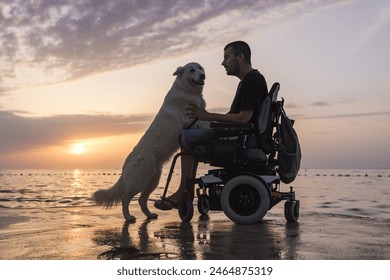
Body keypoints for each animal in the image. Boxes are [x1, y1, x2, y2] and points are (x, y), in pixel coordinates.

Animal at [92, 63, 206, 223]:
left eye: (200, 68)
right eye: (191, 70)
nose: (203, 75)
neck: (186, 90)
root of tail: (126, 163)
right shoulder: (193, 121)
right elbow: (207, 121)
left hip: (153, 179)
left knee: (141, 200)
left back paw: (150, 215)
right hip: (140, 180)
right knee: (125, 198)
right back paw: (128, 217)